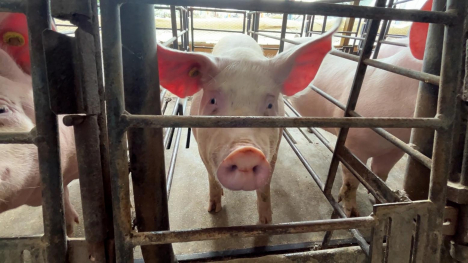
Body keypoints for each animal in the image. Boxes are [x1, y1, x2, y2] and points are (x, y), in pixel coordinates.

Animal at [155, 19, 342, 224]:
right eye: (212, 100)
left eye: (270, 104)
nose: (245, 151)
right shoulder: (201, 147)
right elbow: (212, 178)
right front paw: (213, 210)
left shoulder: (274, 148)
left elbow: (265, 187)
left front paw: (266, 222)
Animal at [290, 0, 434, 219]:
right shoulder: (353, 143)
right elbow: (352, 181)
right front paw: (353, 214)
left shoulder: (396, 148)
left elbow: (379, 175)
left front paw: (378, 199)